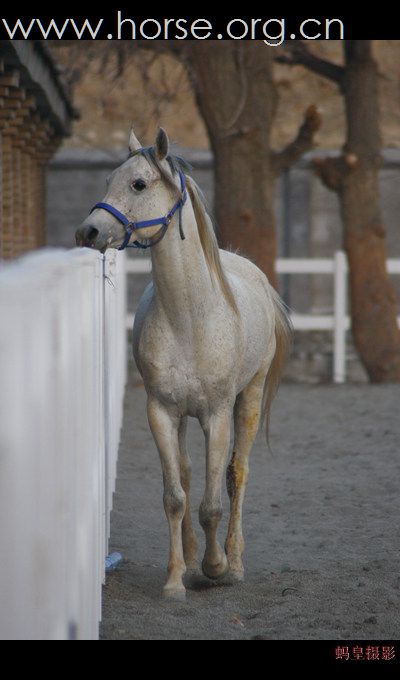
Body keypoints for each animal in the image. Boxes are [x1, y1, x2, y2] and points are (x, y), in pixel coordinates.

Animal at [76, 130, 290, 596]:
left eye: (139, 184)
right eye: (108, 179)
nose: (88, 230)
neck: (189, 317)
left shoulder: (217, 416)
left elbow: (212, 502)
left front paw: (215, 567)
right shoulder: (160, 412)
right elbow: (175, 496)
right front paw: (177, 578)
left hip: (249, 397)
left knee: (236, 473)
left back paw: (234, 562)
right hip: (182, 417)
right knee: (190, 476)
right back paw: (192, 559)